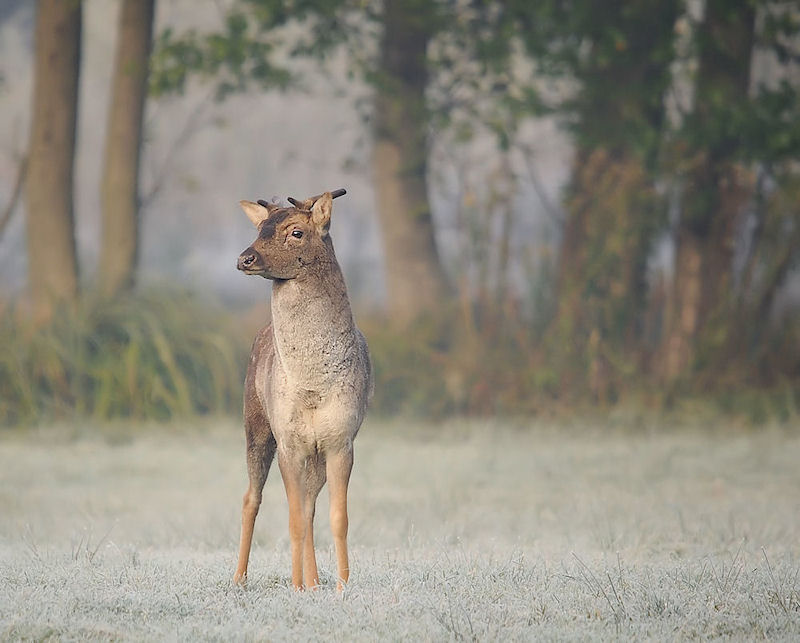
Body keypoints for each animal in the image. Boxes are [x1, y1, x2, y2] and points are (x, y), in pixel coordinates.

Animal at [230, 189, 370, 592]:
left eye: (296, 232)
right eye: (260, 228)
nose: (245, 258)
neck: (313, 389)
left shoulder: (341, 440)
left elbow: (337, 517)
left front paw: (341, 586)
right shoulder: (289, 441)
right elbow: (291, 519)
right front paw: (294, 587)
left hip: (316, 453)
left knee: (309, 505)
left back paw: (315, 581)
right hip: (256, 425)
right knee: (251, 497)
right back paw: (240, 578)